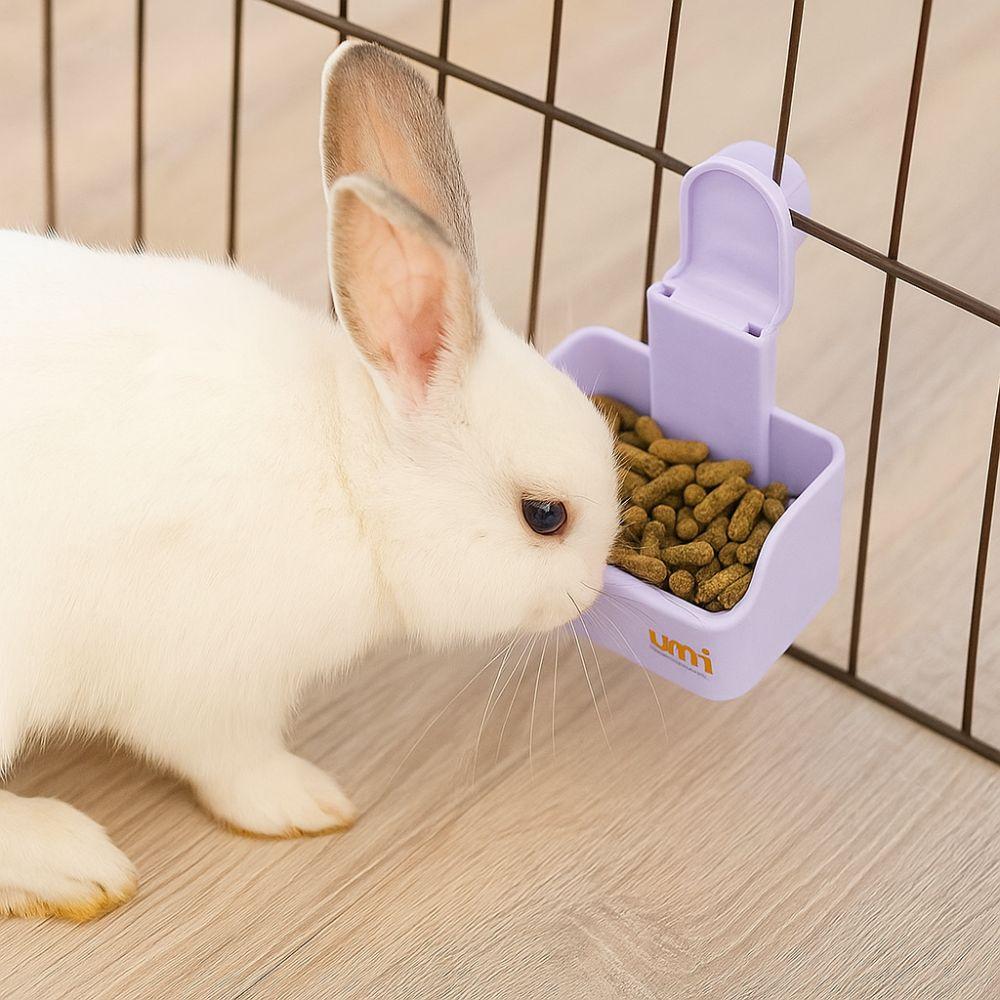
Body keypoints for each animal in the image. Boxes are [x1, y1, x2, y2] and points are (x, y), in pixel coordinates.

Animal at [0, 41, 620, 921]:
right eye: (544, 515)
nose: (593, 591)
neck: (350, 469)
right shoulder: (207, 681)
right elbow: (229, 758)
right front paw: (305, 802)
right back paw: (73, 863)